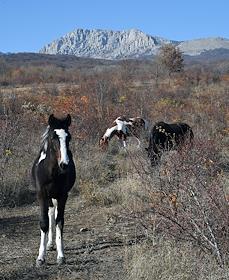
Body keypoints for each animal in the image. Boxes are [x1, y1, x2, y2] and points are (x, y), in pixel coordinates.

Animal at [31, 114, 76, 266]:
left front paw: (61, 256)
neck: (52, 172)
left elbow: (60, 222)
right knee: (50, 213)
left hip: (55, 196)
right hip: (49, 197)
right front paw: (40, 257)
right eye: (53, 138)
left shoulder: (63, 195)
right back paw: (50, 244)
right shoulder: (41, 195)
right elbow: (44, 223)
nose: (64, 164)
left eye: (69, 137)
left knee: (54, 213)